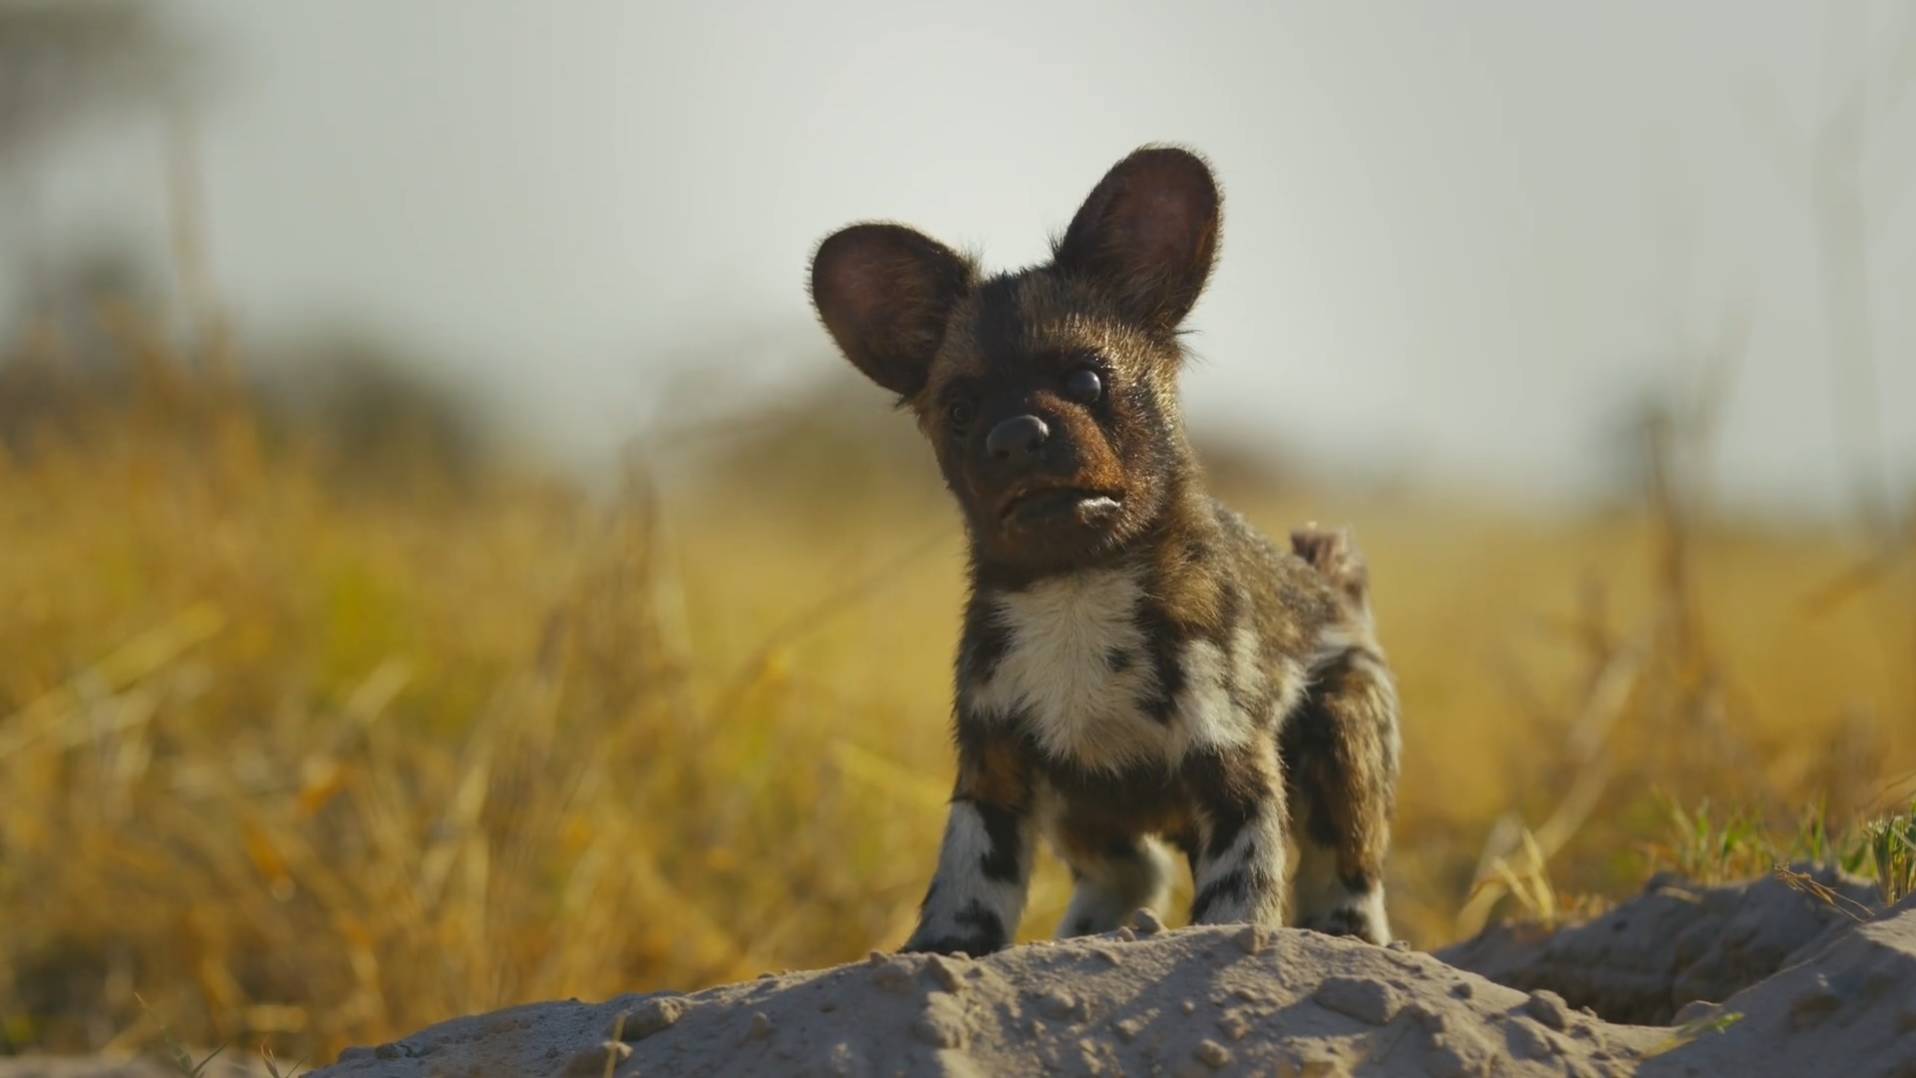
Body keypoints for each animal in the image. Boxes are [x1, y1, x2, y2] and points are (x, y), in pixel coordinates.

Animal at [800, 147, 1402, 957]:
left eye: (1086, 379)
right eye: (961, 409)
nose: (1017, 436)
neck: (1076, 595)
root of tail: (1335, 590)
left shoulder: (1235, 771)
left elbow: (1239, 896)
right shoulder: (994, 770)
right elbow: (966, 889)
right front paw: (940, 954)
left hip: (1341, 742)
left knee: (1347, 879)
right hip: (1086, 814)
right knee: (1133, 873)